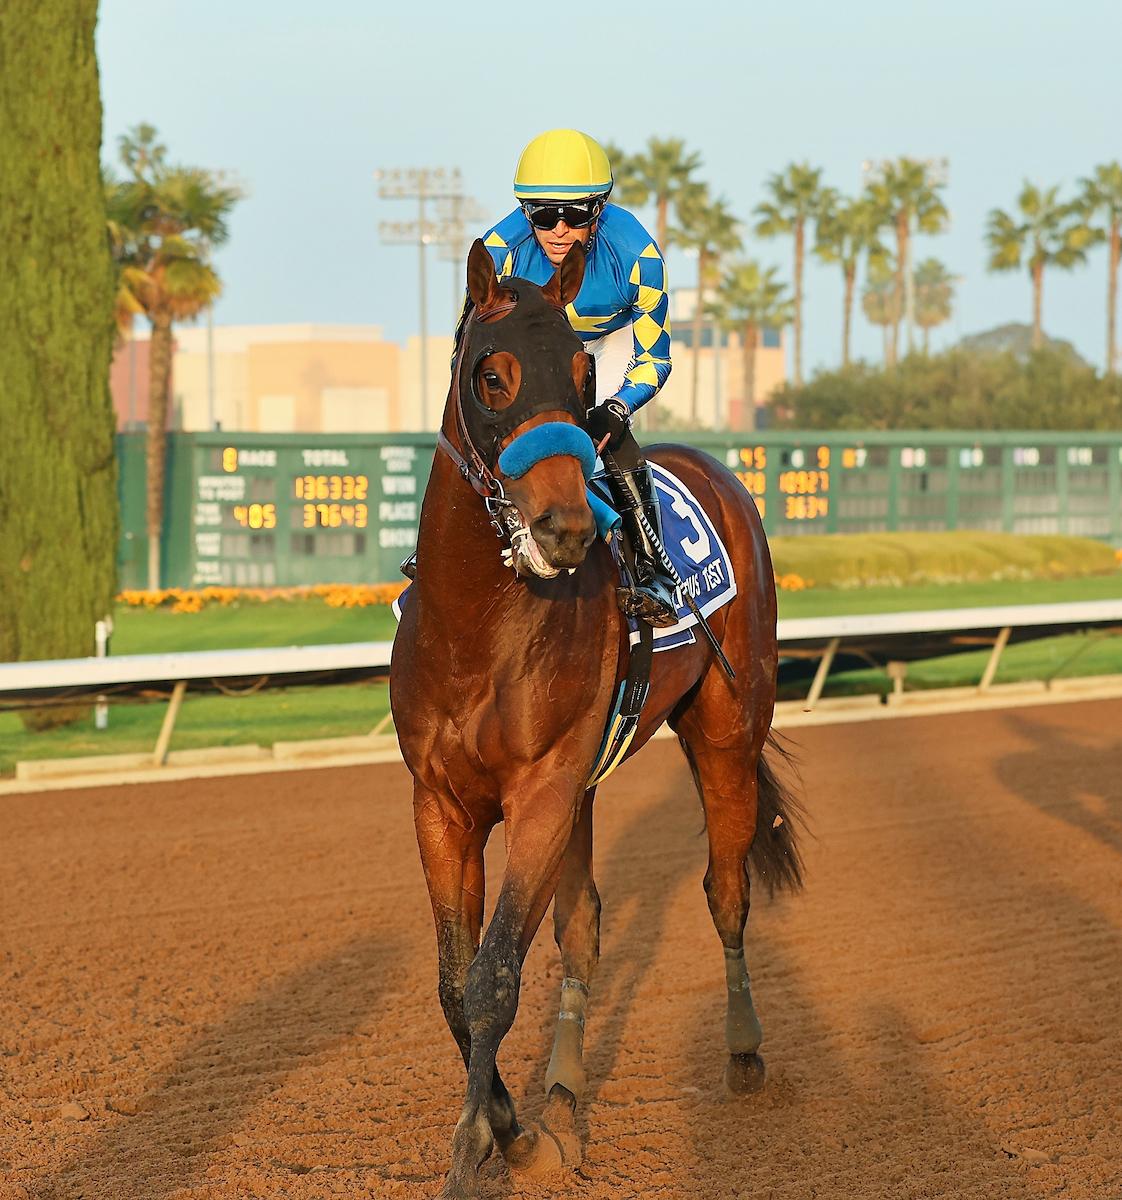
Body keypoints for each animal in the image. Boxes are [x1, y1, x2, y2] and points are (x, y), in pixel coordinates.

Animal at [390, 238, 803, 1200]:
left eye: (584, 376)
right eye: (491, 375)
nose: (566, 525)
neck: (474, 630)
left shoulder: (540, 791)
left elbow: (497, 977)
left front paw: (482, 1151)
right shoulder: (442, 804)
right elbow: (457, 983)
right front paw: (523, 1132)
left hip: (726, 734)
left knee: (725, 892)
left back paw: (744, 1051)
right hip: (584, 789)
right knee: (582, 927)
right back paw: (566, 1092)